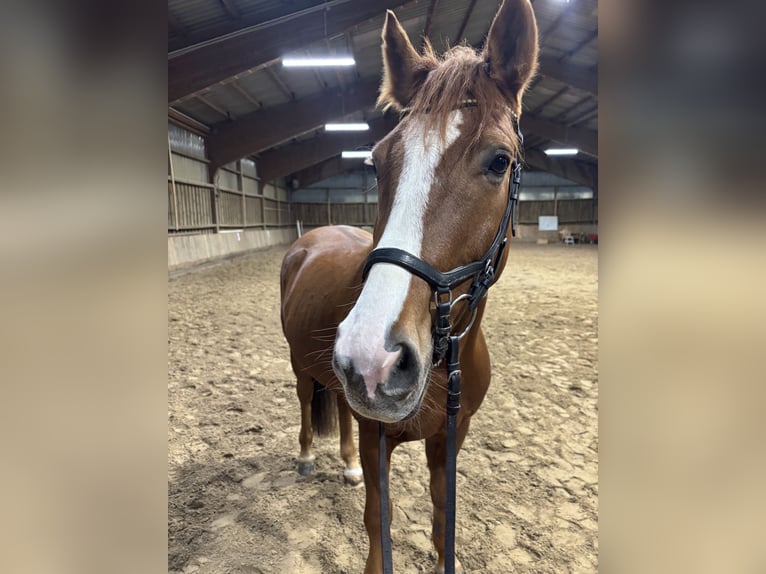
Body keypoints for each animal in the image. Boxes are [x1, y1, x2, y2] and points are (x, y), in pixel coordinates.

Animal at [280, 1, 539, 572]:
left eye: (500, 161)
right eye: (376, 162)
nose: (371, 359)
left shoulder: (450, 438)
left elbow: (444, 520)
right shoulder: (379, 437)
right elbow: (380, 522)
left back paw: (347, 466)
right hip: (299, 365)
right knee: (307, 399)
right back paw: (308, 457)